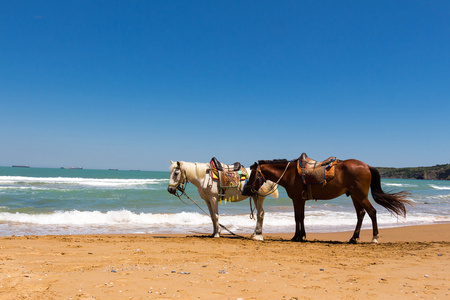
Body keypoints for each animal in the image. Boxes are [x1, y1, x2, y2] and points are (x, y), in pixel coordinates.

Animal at [243, 158, 412, 243]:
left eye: (252, 175)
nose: (246, 190)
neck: (290, 174)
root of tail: (367, 166)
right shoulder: (301, 200)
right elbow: (301, 217)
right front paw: (301, 236)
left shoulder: (297, 199)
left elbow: (297, 217)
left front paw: (296, 237)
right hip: (355, 196)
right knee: (361, 214)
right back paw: (353, 238)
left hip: (361, 196)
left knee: (372, 212)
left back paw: (374, 238)